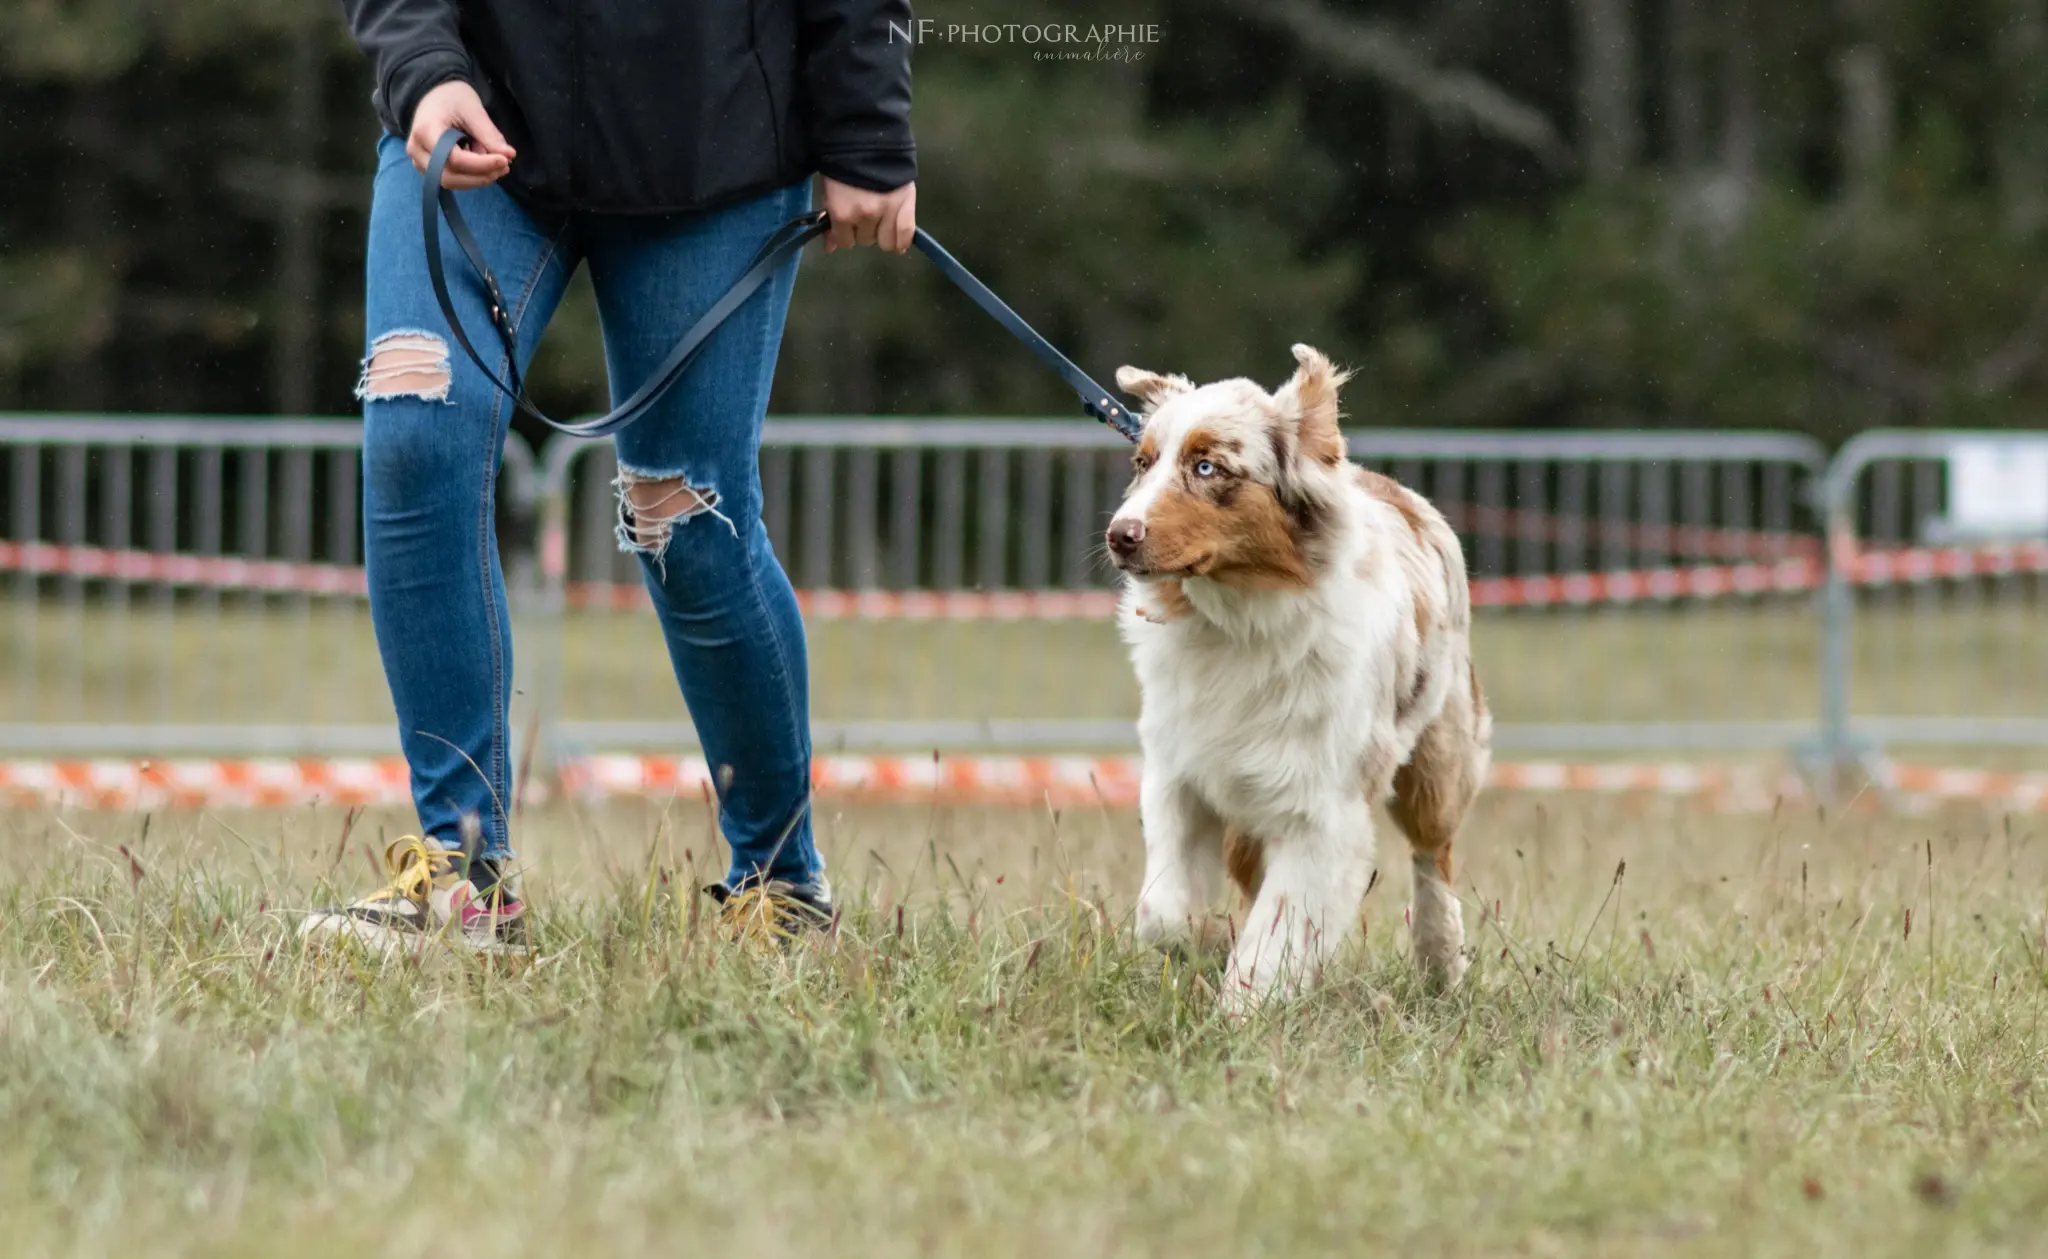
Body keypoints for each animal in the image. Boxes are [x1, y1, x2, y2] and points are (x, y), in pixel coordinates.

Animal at [1105, 343, 1490, 1015]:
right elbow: (1163, 912)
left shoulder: (1321, 809)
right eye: (1142, 463)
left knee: (1432, 854)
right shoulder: (1180, 773)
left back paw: (1439, 962)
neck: (1237, 621)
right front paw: (1209, 941)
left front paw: (1241, 1011)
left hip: (1437, 760)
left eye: (1206, 467)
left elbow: (1277, 930)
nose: (1119, 535)